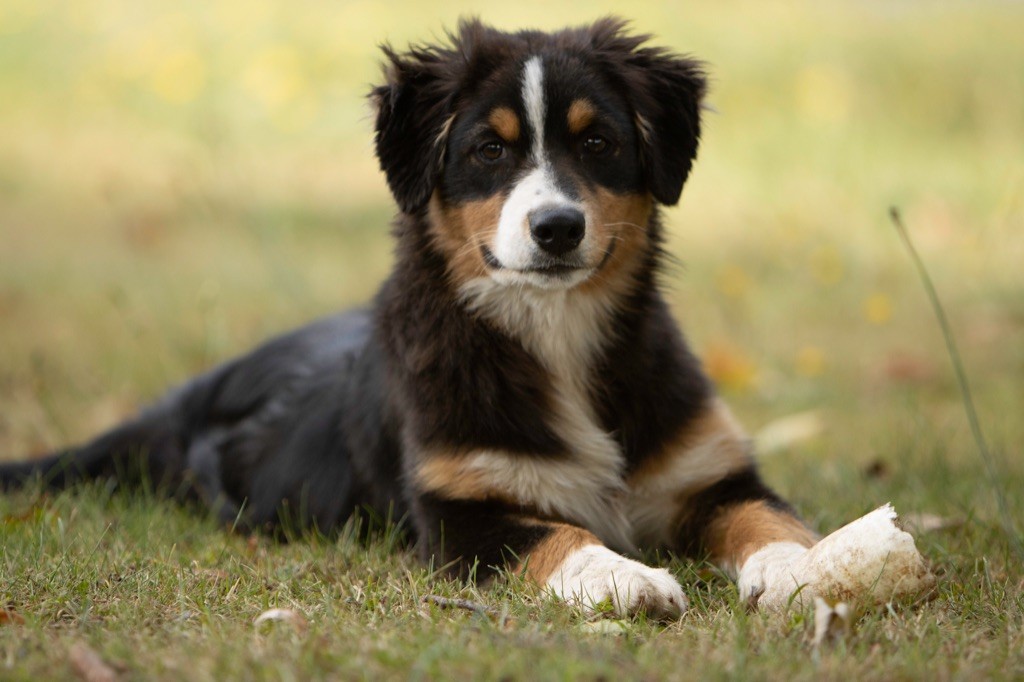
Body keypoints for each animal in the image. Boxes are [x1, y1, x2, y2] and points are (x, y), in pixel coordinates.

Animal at [0, 19, 819, 614]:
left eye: (598, 142)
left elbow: (768, 518)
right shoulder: (460, 514)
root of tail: (186, 396)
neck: (557, 334)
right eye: (489, 150)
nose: (557, 228)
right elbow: (559, 534)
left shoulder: (711, 474)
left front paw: (806, 567)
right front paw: (627, 578)